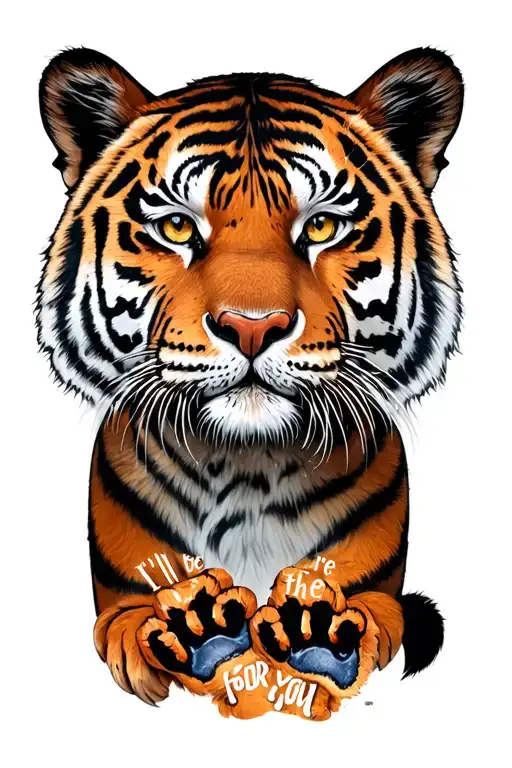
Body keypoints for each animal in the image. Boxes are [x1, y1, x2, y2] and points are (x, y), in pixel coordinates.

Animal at [37, 46, 463, 720]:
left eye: (321, 227)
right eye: (178, 229)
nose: (253, 326)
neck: (245, 464)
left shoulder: (374, 588)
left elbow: (373, 616)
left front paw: (318, 634)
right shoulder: (123, 593)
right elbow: (128, 620)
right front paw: (191, 625)